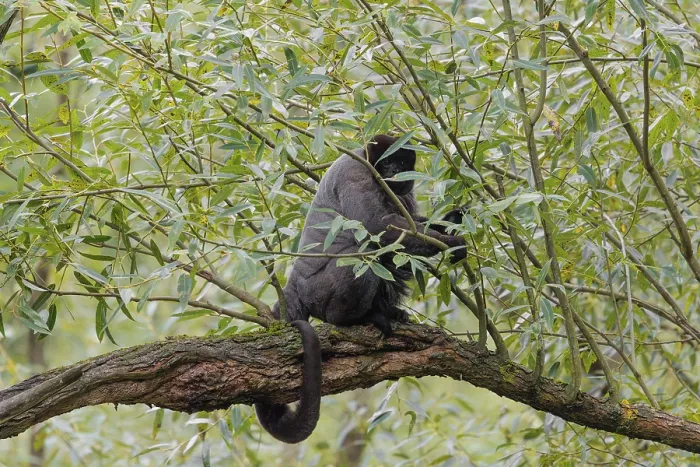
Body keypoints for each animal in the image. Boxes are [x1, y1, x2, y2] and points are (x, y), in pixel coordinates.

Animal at [255, 134, 467, 443]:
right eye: (387, 162)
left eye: (401, 161)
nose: (393, 170)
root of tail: (294, 284)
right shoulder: (358, 172)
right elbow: (376, 225)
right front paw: (451, 242)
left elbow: (412, 221)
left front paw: (452, 219)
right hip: (321, 291)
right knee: (362, 255)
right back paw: (359, 318)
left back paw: (389, 311)